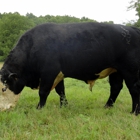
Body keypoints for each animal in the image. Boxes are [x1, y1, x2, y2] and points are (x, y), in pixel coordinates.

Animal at [0, 22, 140, 115]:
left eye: (3, 89)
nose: (2, 109)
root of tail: (131, 29)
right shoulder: (58, 74)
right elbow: (61, 91)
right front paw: (64, 106)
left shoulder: (49, 73)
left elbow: (43, 92)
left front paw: (39, 108)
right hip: (116, 71)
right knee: (116, 88)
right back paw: (107, 106)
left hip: (130, 71)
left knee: (134, 89)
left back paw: (135, 112)